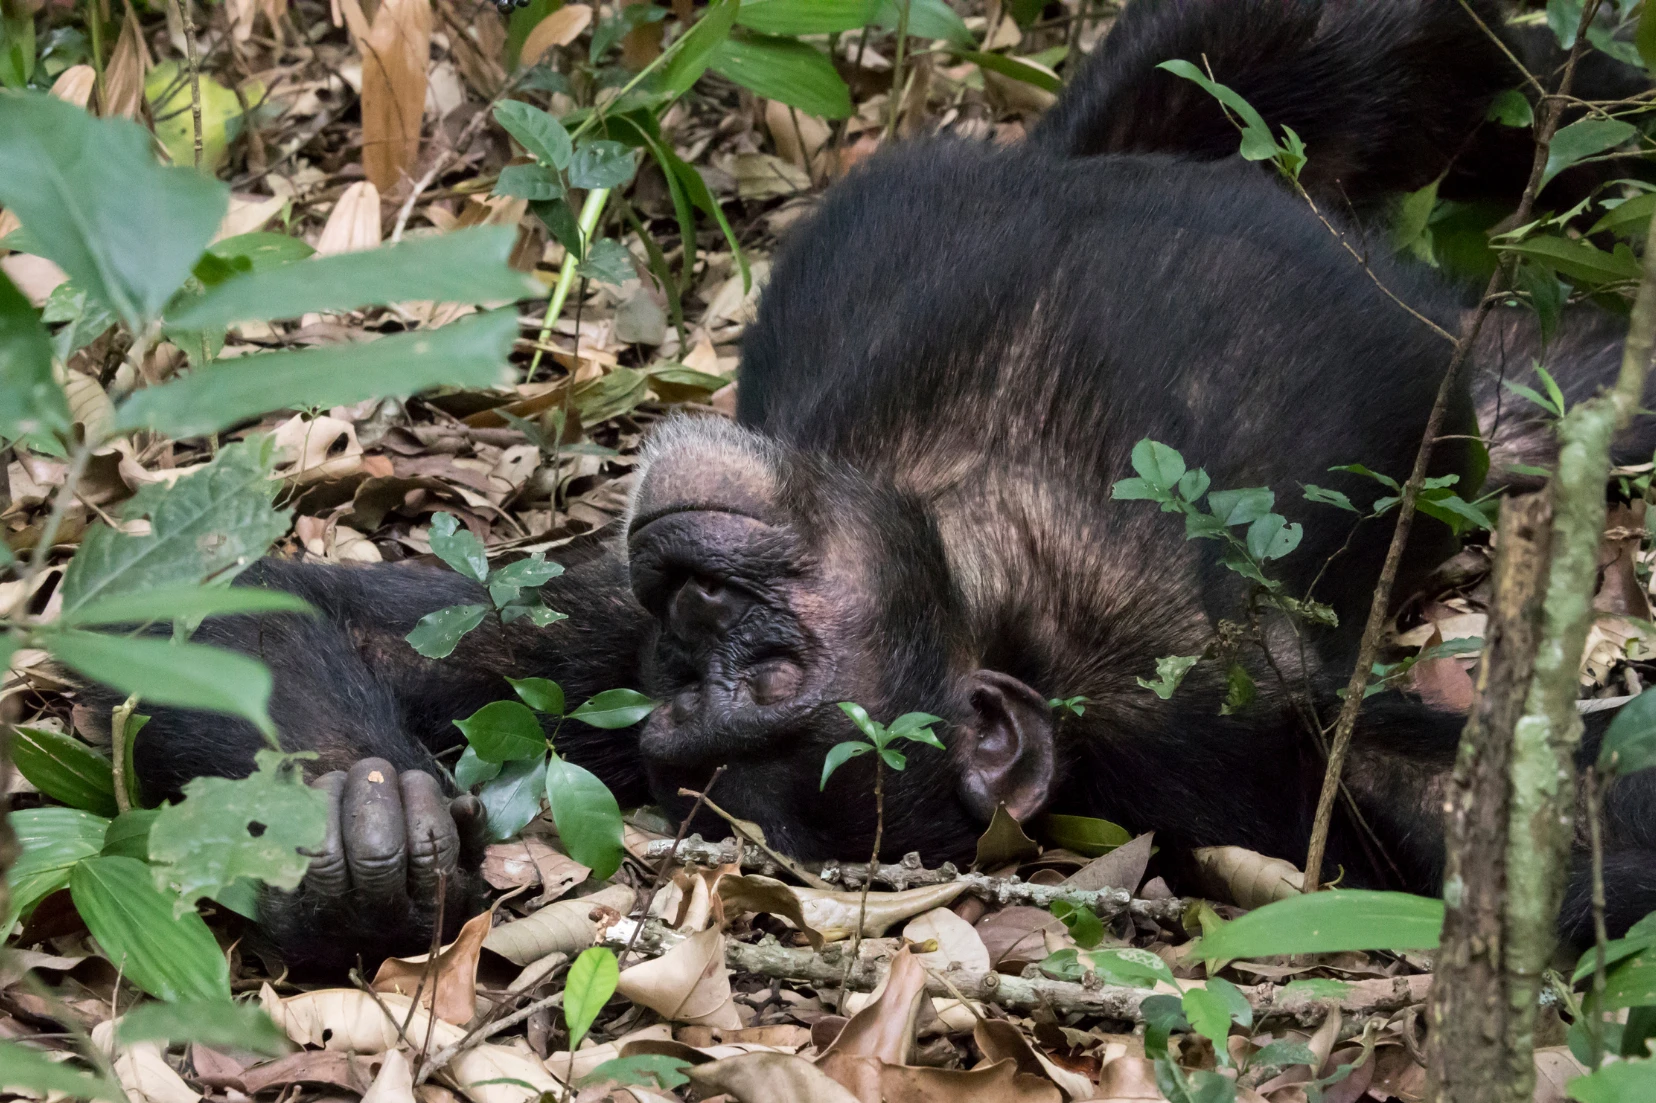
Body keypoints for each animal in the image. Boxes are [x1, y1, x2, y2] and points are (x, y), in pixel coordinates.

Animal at [83, 0, 1656, 971]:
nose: (696, 599)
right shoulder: (595, 631)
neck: (987, 552)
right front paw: (353, 833)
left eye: (769, 667)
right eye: (682, 690)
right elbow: (240, 603)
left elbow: (1557, 824)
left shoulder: (1229, 709)